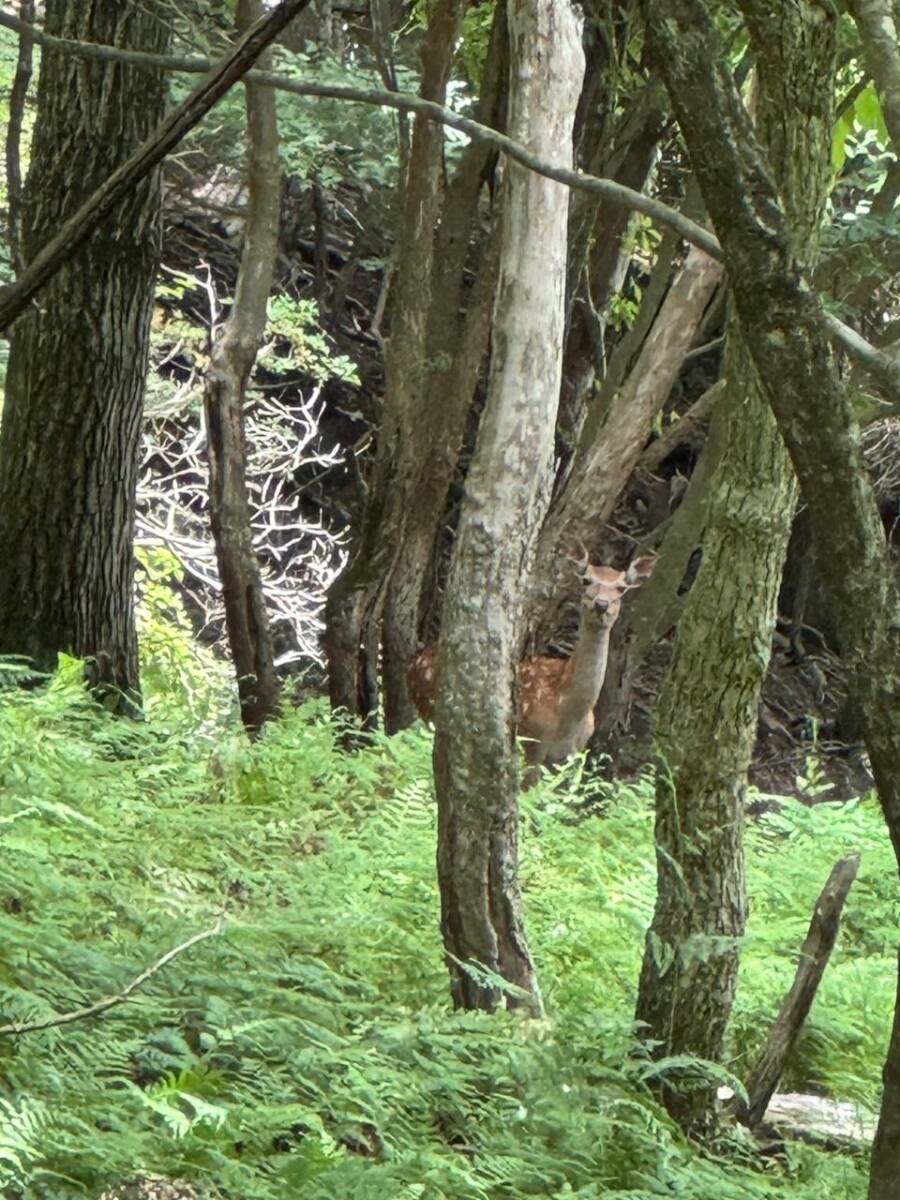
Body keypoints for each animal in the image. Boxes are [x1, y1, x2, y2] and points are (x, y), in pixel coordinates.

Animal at [408, 549, 657, 777]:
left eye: (621, 587)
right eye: (587, 579)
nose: (602, 604)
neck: (567, 710)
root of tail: (416, 658)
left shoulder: (572, 756)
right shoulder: (532, 745)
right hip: (428, 713)